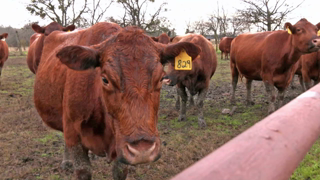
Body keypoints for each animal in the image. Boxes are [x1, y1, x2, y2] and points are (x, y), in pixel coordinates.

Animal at [33, 22, 201, 179]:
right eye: (105, 79)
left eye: (160, 78)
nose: (143, 151)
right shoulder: (74, 136)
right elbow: (83, 170)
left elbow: (120, 171)